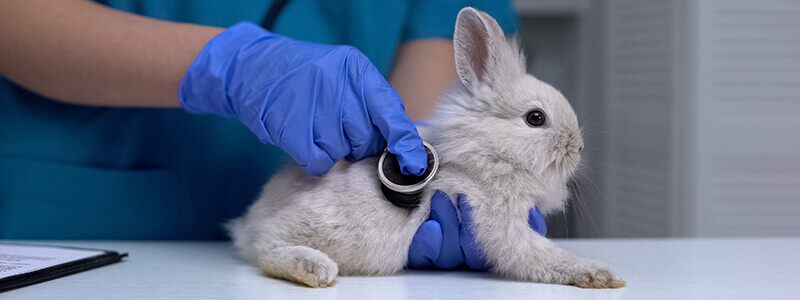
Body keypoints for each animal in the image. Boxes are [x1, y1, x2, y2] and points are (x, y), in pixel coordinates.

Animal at [227, 6, 624, 288]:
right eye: (536, 118)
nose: (578, 147)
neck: (488, 154)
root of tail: (250, 223)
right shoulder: (498, 222)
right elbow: (540, 255)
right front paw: (600, 275)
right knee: (267, 251)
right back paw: (315, 270)